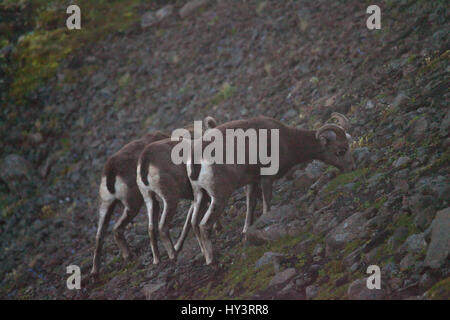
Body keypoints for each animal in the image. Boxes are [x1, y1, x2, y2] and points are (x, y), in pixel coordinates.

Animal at [136, 116, 217, 264]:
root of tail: (146, 158)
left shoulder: (195, 198)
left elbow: (189, 222)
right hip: (170, 199)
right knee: (162, 227)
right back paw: (173, 255)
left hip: (150, 199)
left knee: (151, 228)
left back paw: (157, 259)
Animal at [186, 112, 356, 264]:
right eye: (340, 151)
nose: (351, 168)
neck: (286, 140)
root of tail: (196, 158)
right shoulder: (267, 178)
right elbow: (266, 204)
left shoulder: (252, 182)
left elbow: (251, 205)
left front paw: (246, 231)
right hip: (219, 197)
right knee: (204, 225)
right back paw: (211, 260)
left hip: (200, 196)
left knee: (194, 223)